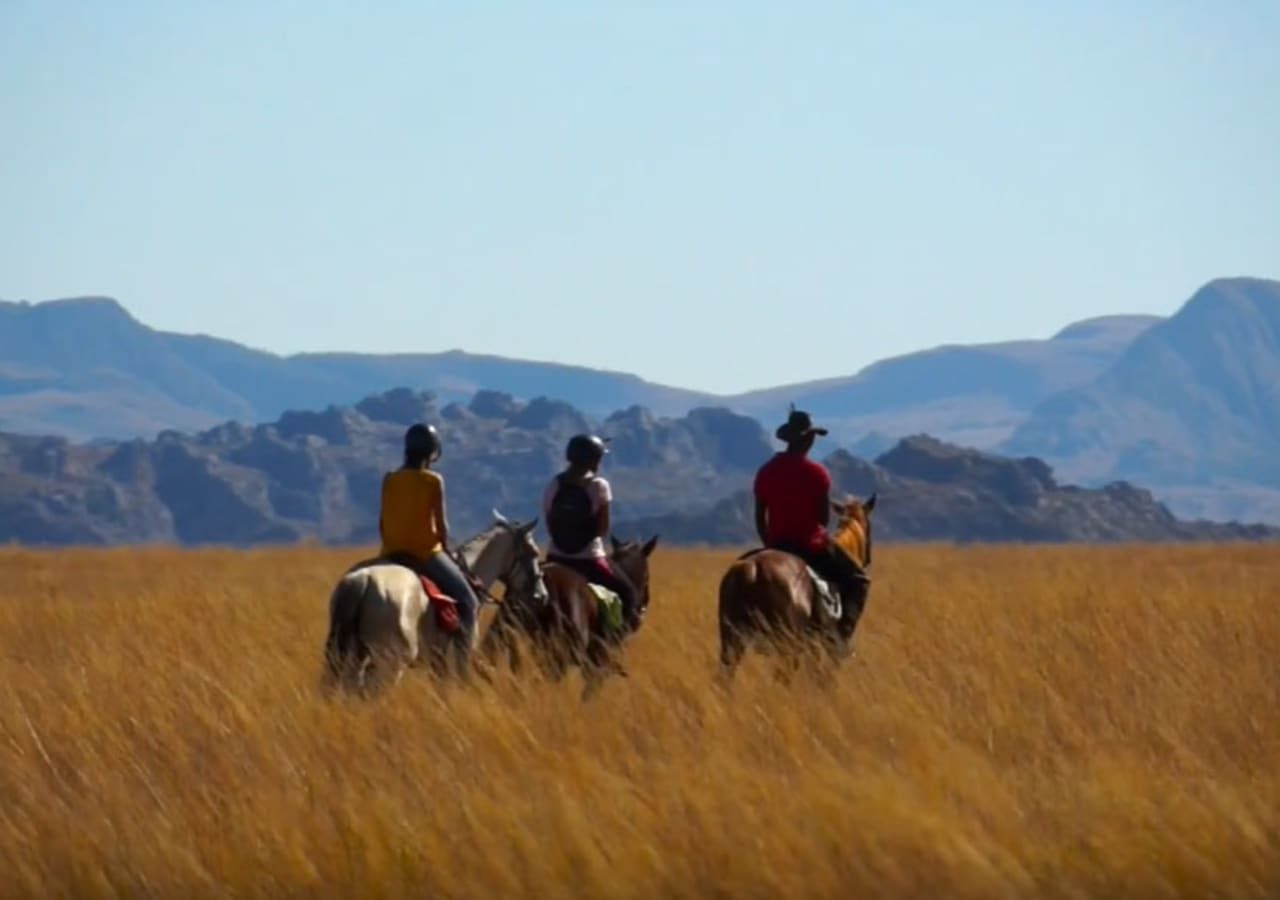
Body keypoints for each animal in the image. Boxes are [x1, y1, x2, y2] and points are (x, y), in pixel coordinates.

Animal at [325, 509, 545, 691]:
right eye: (534, 552)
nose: (541, 595)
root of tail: (363, 580)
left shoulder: (437, 662)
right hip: (389, 663)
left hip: (353, 657)